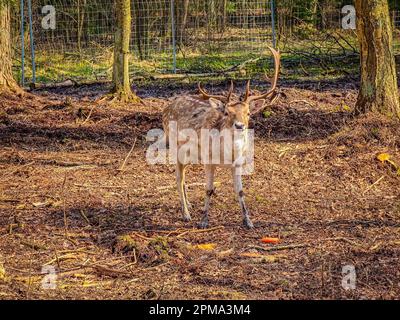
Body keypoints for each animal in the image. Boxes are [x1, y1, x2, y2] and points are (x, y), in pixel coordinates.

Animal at [162, 46, 282, 229]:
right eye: (226, 112)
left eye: (248, 113)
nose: (240, 126)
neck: (228, 154)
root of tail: (165, 109)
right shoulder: (208, 160)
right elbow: (209, 189)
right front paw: (203, 221)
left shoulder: (238, 163)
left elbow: (240, 191)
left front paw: (248, 221)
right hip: (176, 147)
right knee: (178, 177)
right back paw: (186, 214)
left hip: (190, 154)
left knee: (183, 176)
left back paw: (189, 205)